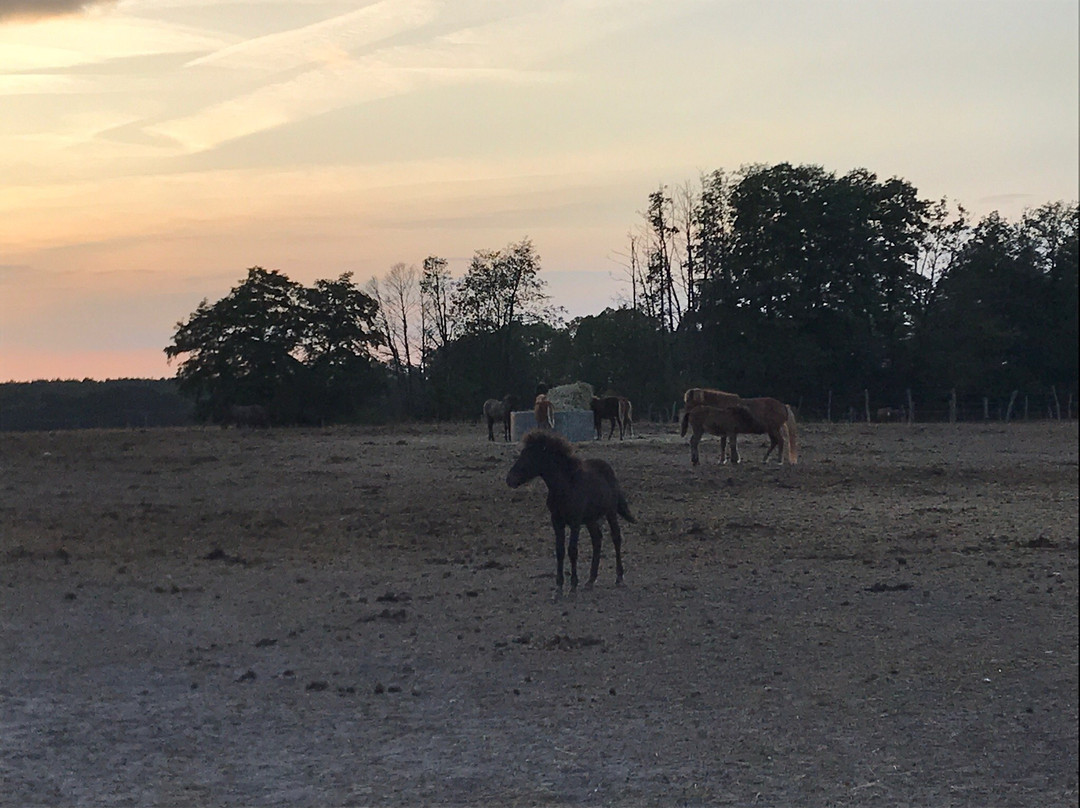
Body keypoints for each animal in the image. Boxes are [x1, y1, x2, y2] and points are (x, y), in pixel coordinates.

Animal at [505, 429, 630, 591]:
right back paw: (591, 579)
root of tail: (609, 471)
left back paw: (619, 577)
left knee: (616, 537)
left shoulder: (575, 522)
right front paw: (559, 584)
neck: (565, 486)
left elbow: (572, 550)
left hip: (610, 512)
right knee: (597, 539)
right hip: (590, 519)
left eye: (529, 456)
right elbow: (560, 551)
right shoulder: (557, 521)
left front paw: (573, 584)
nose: (510, 479)